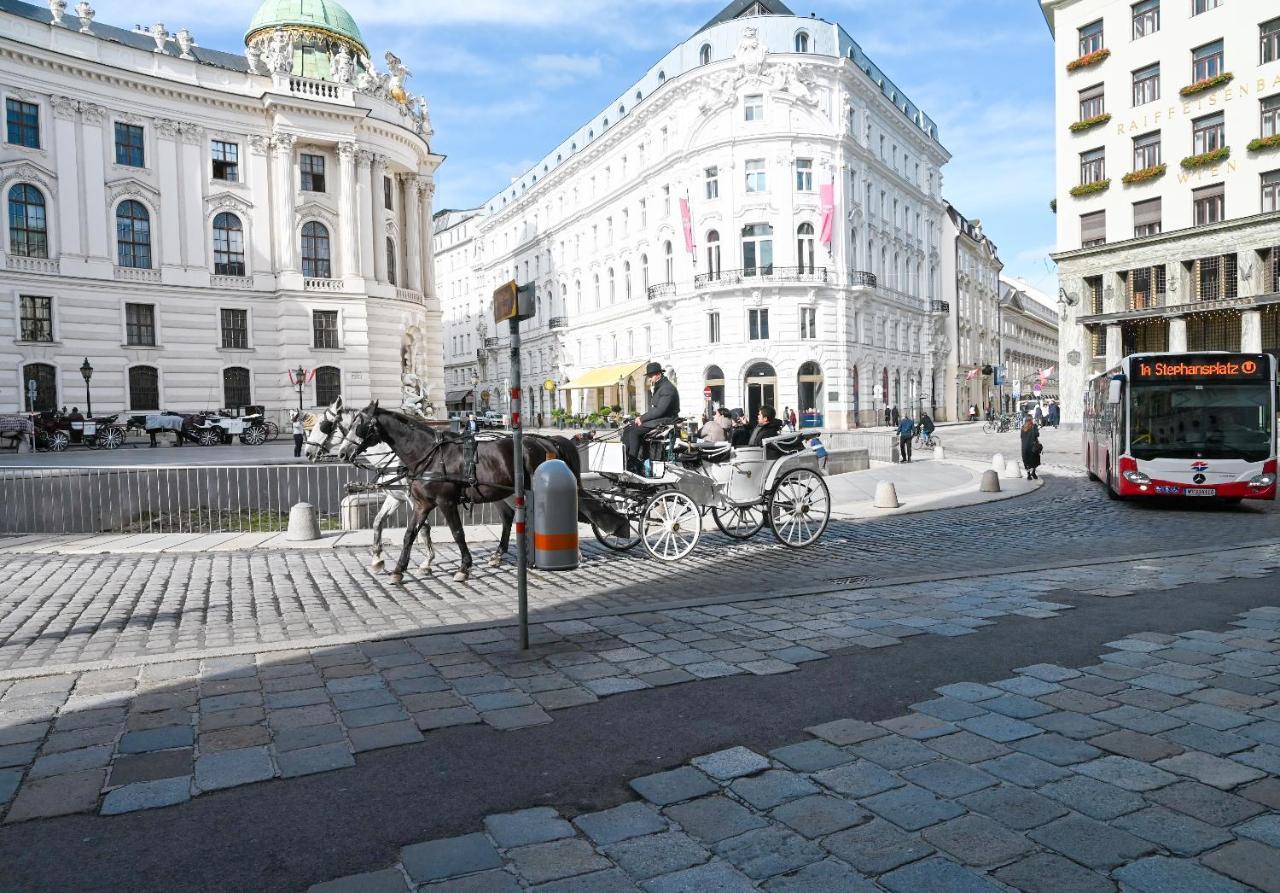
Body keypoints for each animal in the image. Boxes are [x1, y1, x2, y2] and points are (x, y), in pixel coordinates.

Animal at [337, 399, 622, 580]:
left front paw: (463, 568)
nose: (341, 453)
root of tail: (546, 440)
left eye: (359, 425)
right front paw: (398, 570)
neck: (428, 454)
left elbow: (457, 533)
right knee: (512, 518)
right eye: (345, 426)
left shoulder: (445, 502)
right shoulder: (422, 503)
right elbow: (409, 534)